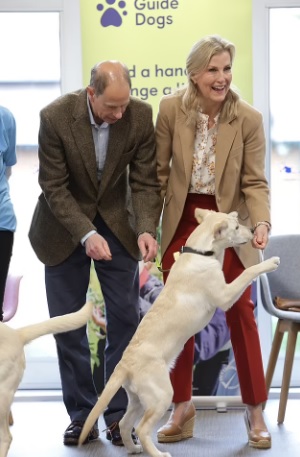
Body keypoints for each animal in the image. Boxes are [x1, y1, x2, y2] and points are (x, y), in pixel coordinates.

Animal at [78, 208, 280, 456]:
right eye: (235, 227)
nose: (253, 230)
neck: (201, 253)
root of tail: (123, 366)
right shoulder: (225, 295)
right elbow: (247, 272)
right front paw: (269, 262)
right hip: (161, 396)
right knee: (142, 428)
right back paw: (157, 453)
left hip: (138, 399)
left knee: (125, 424)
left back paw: (133, 448)